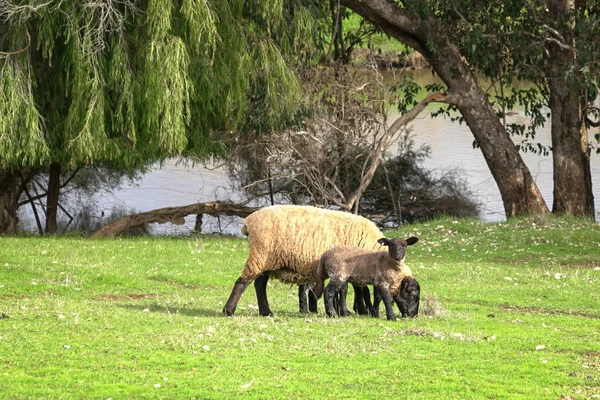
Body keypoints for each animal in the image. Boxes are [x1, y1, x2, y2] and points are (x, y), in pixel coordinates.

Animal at [223, 206, 386, 316]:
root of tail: (248, 222)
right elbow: (357, 290)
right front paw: (357, 310)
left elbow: (354, 289)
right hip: (259, 255)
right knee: (242, 283)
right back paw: (229, 310)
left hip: (267, 260)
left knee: (259, 284)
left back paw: (266, 312)